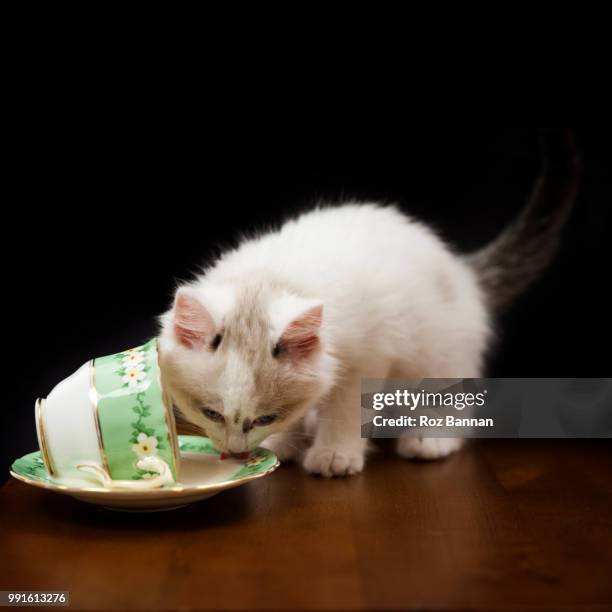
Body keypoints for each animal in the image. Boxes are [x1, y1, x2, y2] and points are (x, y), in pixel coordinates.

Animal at [158, 130, 580, 478]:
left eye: (264, 417)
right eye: (210, 413)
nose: (235, 451)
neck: (270, 277)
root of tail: (462, 270)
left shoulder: (372, 354)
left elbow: (347, 407)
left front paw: (334, 454)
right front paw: (286, 441)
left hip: (440, 352)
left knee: (452, 396)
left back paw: (430, 438)